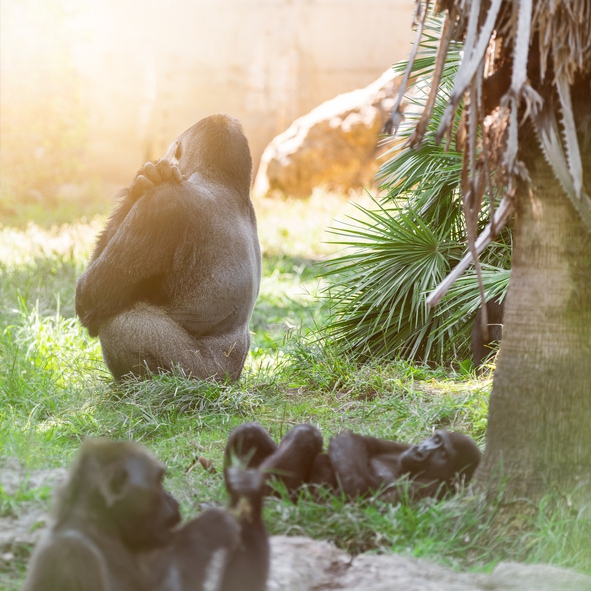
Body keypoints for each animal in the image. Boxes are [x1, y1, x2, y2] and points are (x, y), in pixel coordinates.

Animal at [22, 438, 270, 591]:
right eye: (158, 480)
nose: (173, 501)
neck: (104, 527)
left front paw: (248, 495)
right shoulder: (70, 554)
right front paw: (205, 531)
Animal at [76, 115, 262, 384]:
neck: (224, 183)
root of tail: (231, 379)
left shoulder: (162, 205)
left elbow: (90, 297)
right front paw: (143, 182)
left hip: (199, 376)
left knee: (123, 324)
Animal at [225, 424, 480, 502]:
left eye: (443, 453)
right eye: (435, 439)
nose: (423, 451)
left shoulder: (427, 490)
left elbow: (359, 491)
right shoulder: (401, 447)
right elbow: (359, 441)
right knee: (249, 432)